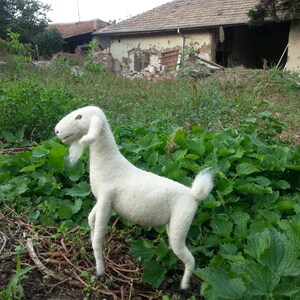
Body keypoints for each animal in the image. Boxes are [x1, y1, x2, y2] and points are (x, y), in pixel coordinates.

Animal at [54, 106, 213, 290]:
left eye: (79, 117)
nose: (56, 131)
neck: (109, 163)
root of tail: (194, 194)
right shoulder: (100, 200)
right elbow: (90, 219)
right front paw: (90, 240)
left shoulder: (106, 201)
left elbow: (98, 239)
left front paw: (100, 271)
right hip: (173, 224)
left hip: (181, 224)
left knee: (190, 260)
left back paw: (183, 286)